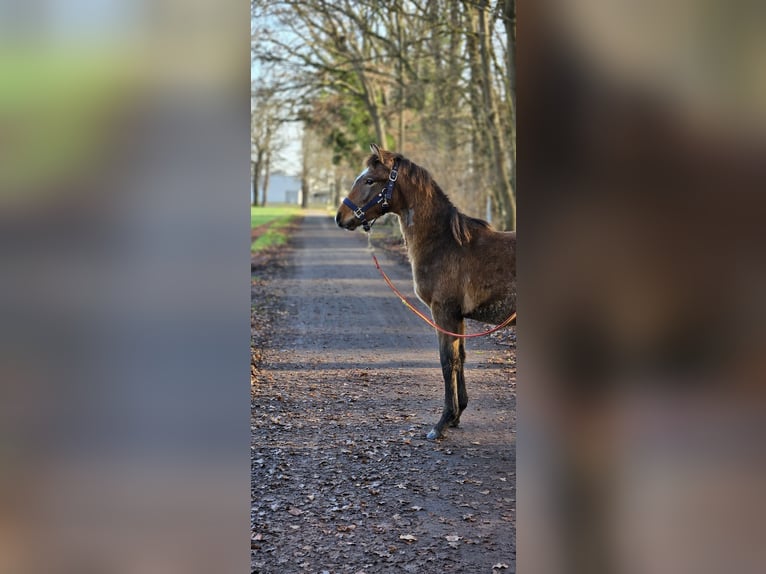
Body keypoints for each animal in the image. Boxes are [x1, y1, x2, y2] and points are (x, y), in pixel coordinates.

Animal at [335, 144, 516, 440]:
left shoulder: (443, 312)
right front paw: (457, 416)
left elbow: (447, 362)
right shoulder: (457, 317)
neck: (445, 243)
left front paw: (441, 423)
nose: (340, 217)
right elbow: (460, 359)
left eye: (369, 180)